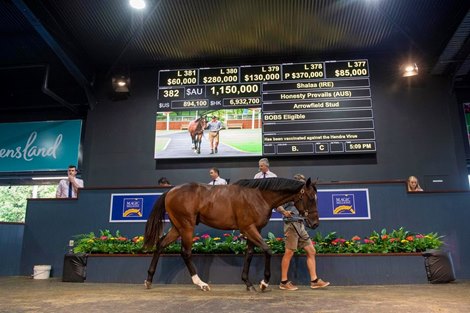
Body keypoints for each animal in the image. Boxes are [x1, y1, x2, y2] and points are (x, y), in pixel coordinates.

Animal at [143, 177, 320, 292]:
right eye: (311, 198)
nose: (315, 223)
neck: (259, 196)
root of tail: (170, 191)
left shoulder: (255, 230)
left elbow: (249, 254)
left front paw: (248, 283)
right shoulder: (249, 228)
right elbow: (267, 250)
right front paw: (264, 283)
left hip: (177, 227)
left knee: (160, 245)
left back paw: (149, 280)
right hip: (186, 227)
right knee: (185, 253)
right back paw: (201, 284)